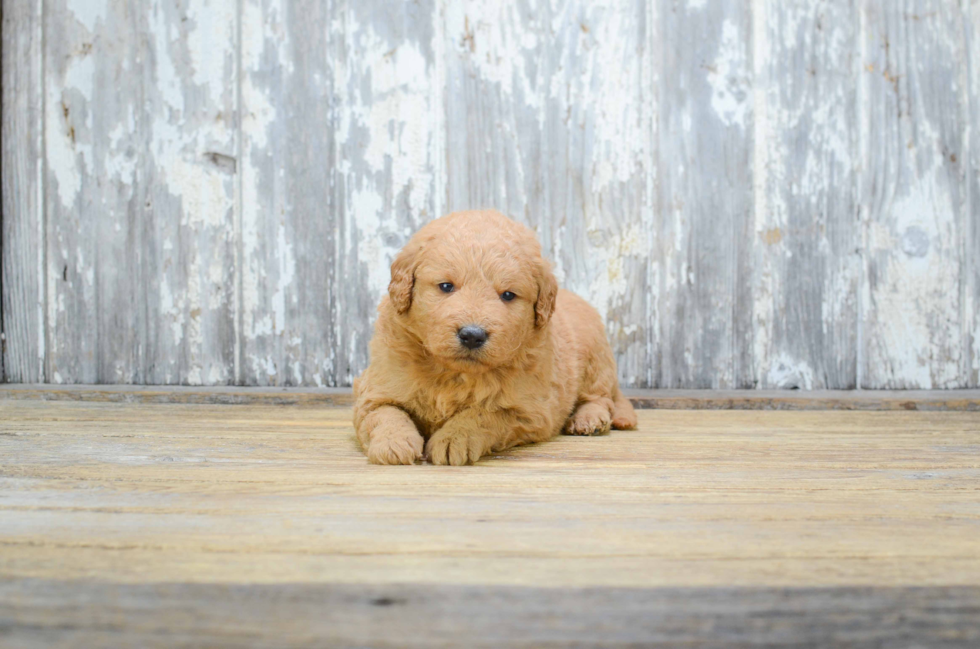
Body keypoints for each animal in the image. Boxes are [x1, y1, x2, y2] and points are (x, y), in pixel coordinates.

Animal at [352, 210, 636, 464]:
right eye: (446, 286)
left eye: (508, 295)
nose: (472, 335)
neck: (454, 374)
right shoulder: (374, 388)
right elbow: (385, 414)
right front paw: (393, 443)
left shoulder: (529, 410)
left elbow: (484, 414)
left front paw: (454, 438)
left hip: (595, 357)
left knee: (601, 397)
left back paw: (589, 419)